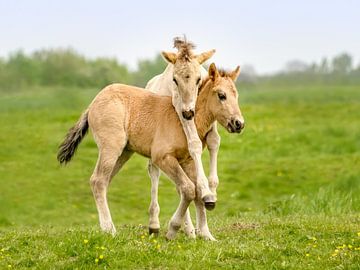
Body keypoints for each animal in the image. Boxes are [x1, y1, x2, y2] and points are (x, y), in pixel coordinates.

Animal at [57, 63, 245, 240]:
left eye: (236, 95)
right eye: (221, 95)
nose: (239, 123)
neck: (184, 120)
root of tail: (92, 104)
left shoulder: (187, 161)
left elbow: (198, 190)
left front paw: (206, 235)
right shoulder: (162, 157)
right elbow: (188, 189)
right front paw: (172, 230)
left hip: (123, 153)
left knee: (101, 181)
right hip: (111, 147)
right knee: (98, 180)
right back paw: (109, 229)